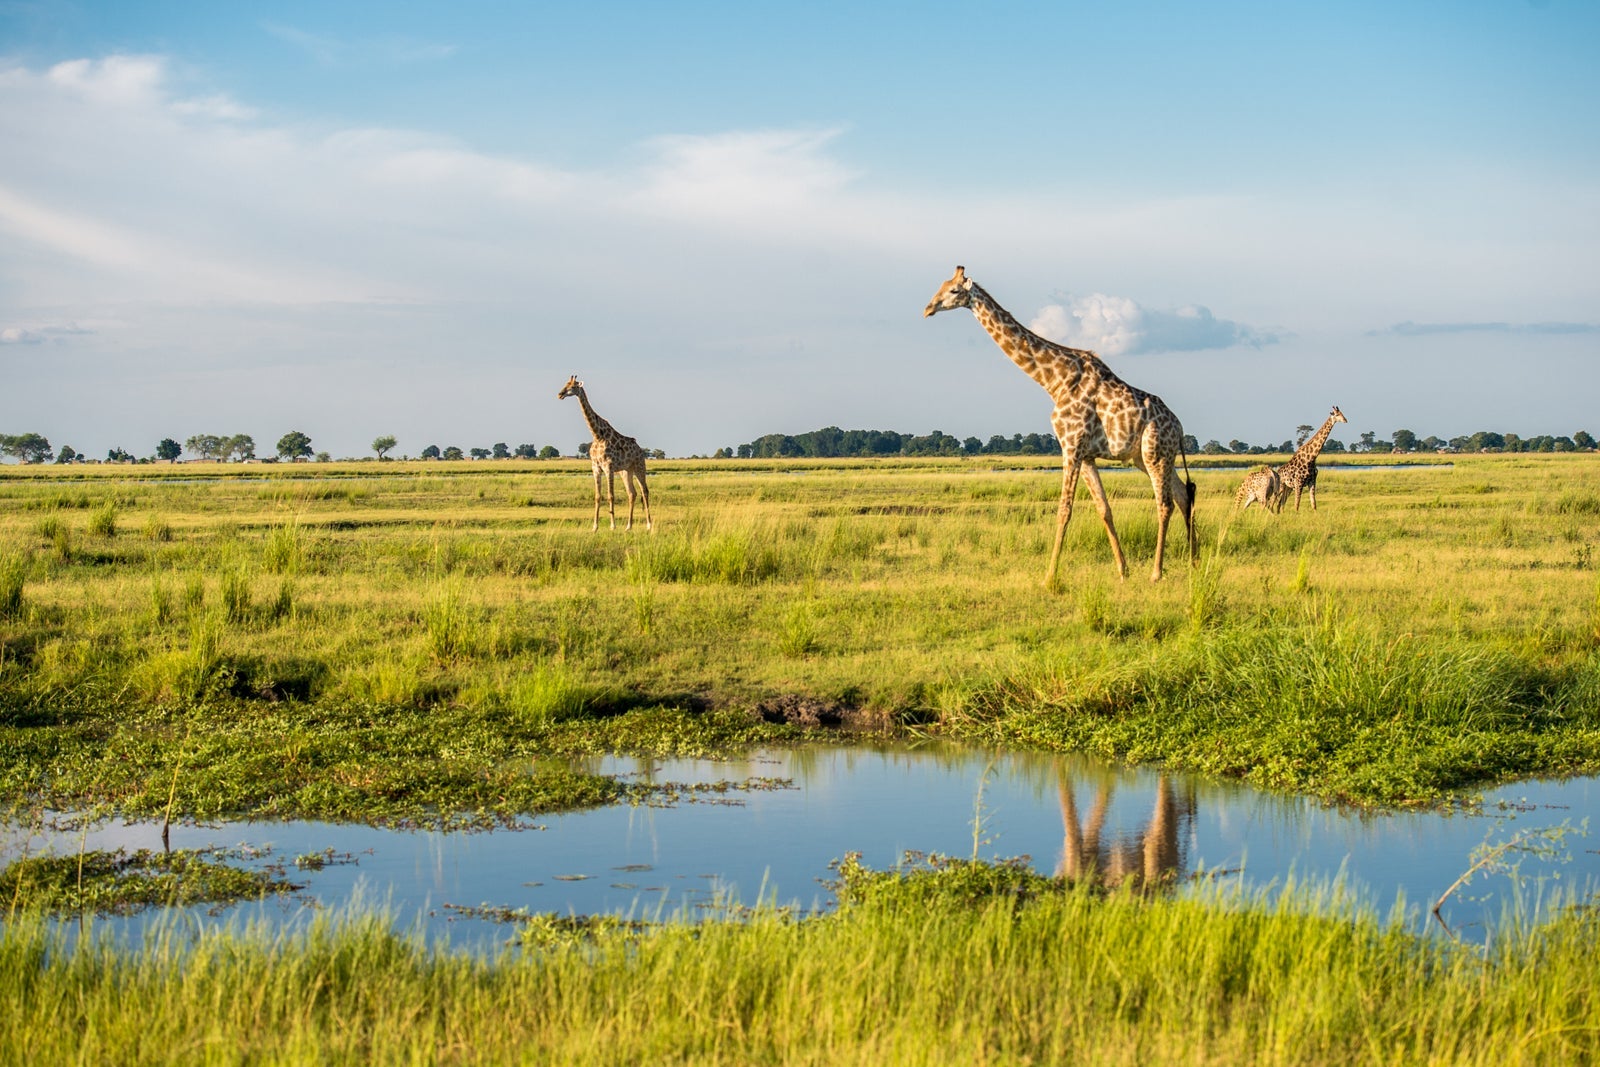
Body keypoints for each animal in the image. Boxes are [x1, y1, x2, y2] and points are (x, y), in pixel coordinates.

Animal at [557, 375, 653, 532]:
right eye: (565, 384)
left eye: (573, 386)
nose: (560, 394)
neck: (597, 435)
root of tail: (640, 449)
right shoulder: (596, 468)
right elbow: (597, 496)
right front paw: (595, 527)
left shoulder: (609, 467)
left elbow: (610, 495)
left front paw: (612, 526)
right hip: (626, 471)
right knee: (632, 493)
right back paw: (628, 526)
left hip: (639, 466)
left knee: (644, 491)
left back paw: (649, 525)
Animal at [923, 266, 1196, 584]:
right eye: (940, 285)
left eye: (954, 290)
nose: (928, 309)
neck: (1054, 381)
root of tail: (1179, 428)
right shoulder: (1086, 454)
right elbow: (1104, 509)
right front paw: (1123, 570)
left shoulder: (1071, 446)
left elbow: (1064, 510)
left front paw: (1049, 576)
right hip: (1147, 457)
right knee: (1183, 494)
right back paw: (1194, 561)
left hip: (1155, 453)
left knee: (1165, 503)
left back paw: (1156, 572)